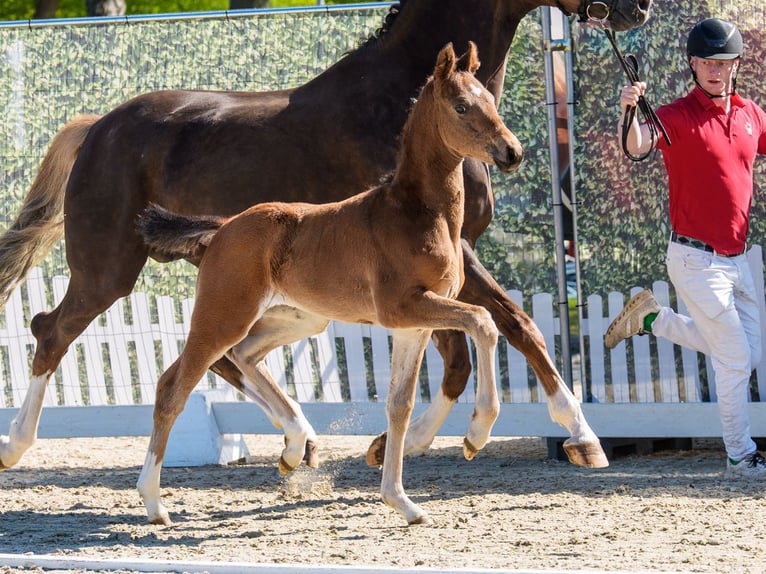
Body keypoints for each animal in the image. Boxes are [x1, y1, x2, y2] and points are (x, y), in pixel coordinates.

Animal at [0, 0, 652, 475]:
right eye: (465, 107)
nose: (638, 7)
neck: (395, 104)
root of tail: (96, 127)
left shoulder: (444, 269)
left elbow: (461, 354)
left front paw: (394, 444)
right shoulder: (450, 259)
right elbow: (510, 327)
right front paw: (582, 436)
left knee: (221, 357)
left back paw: (301, 443)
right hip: (108, 270)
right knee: (52, 331)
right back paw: (16, 446)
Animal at [137, 42, 523, 525]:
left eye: (490, 100)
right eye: (461, 106)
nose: (512, 152)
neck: (415, 213)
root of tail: (224, 226)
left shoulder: (413, 325)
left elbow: (399, 405)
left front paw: (401, 501)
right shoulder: (404, 307)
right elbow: (484, 321)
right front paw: (476, 434)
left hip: (301, 319)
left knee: (245, 356)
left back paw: (293, 447)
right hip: (224, 315)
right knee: (175, 385)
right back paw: (154, 503)